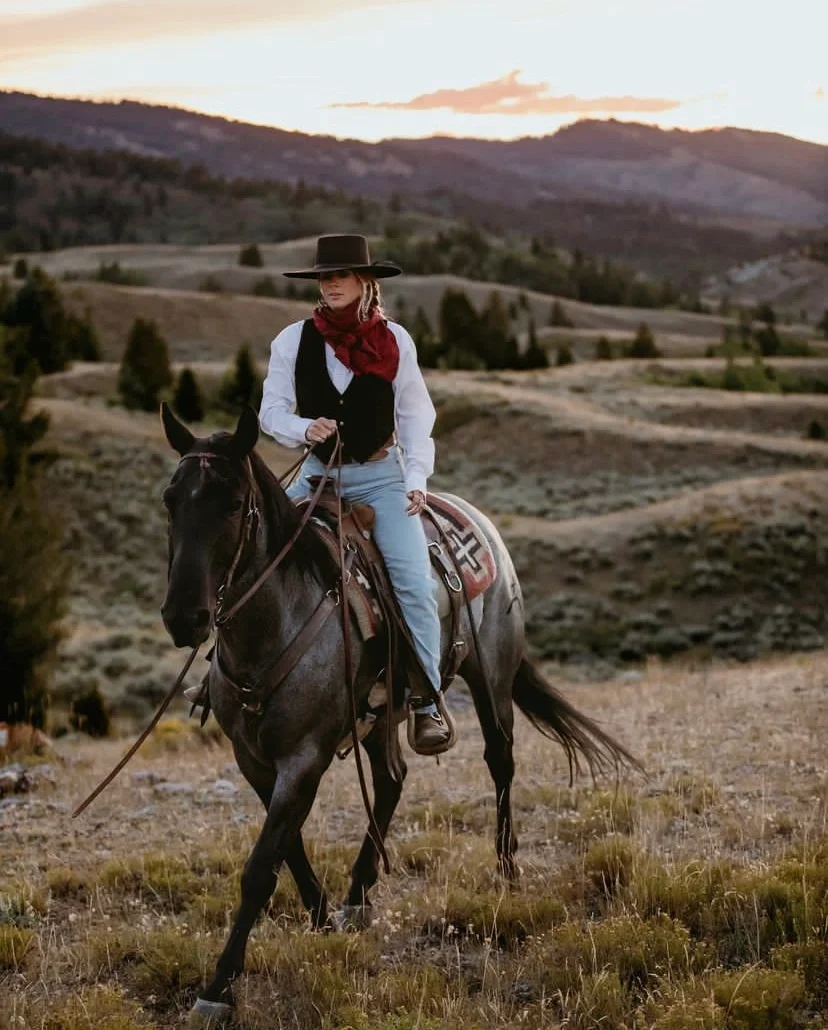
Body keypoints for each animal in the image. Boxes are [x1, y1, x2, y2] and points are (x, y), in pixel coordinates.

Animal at [158, 405, 634, 1025]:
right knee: (390, 780)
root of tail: (480, 523)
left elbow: (261, 867)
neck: (277, 622)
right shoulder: (255, 761)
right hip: (381, 712)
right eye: (171, 500)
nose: (182, 617)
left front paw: (217, 987)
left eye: (233, 504)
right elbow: (288, 849)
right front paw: (321, 919)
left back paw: (506, 870)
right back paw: (357, 898)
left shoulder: (304, 758)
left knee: (500, 763)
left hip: (491, 681)